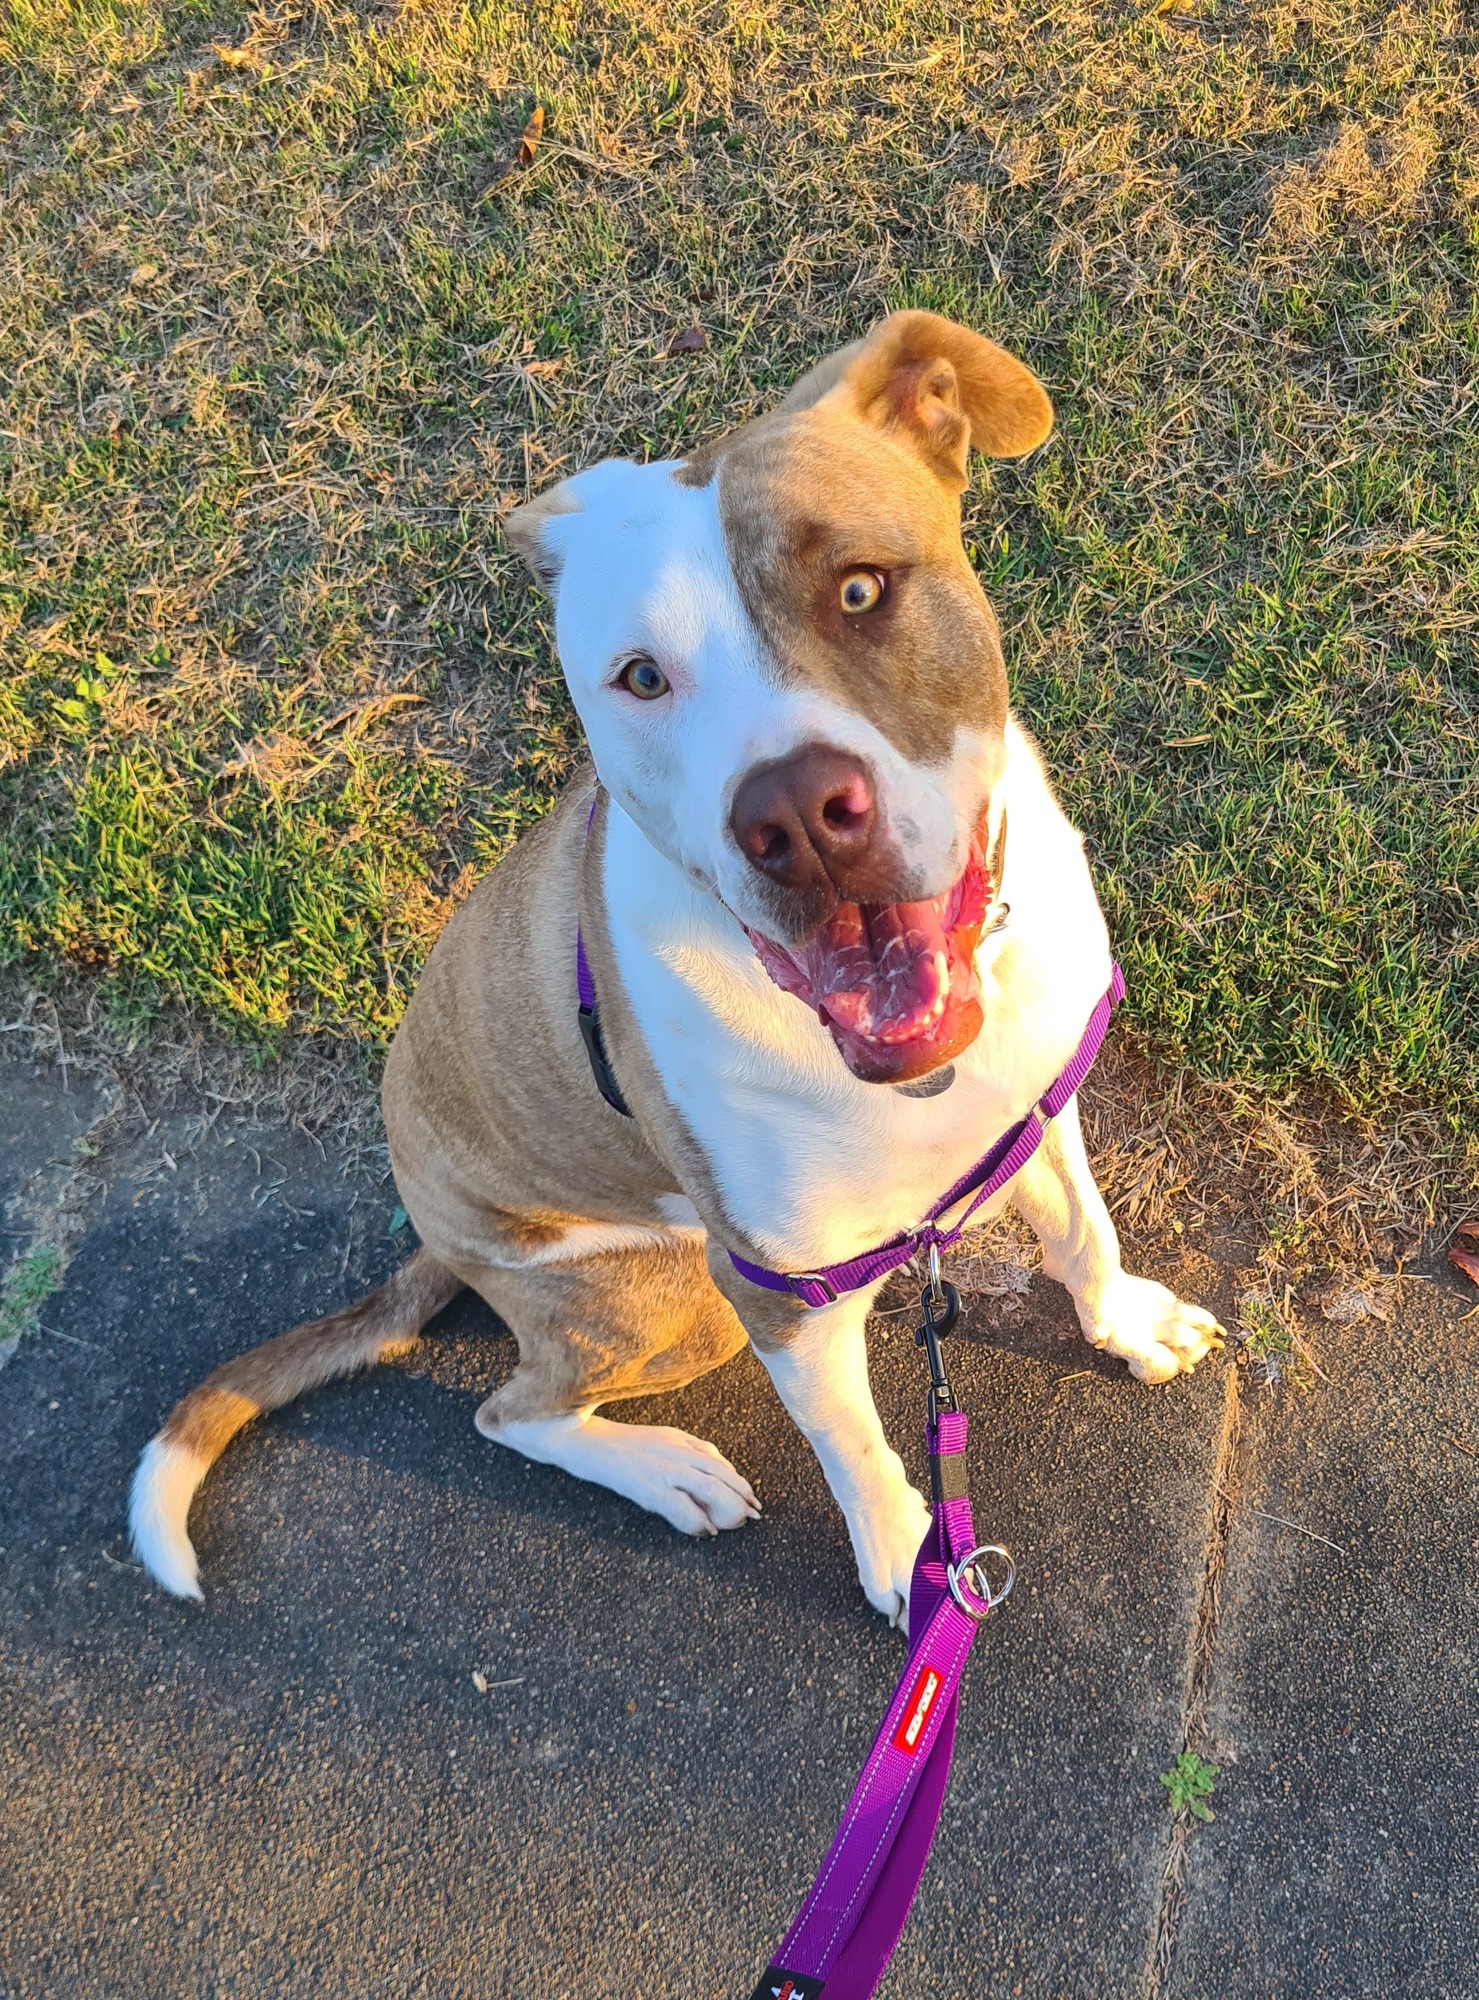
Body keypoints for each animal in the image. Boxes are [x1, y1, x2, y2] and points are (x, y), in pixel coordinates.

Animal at [126, 316, 1215, 1624]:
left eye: (861, 587)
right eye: (641, 676)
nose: (796, 814)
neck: (922, 1072)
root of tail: (434, 1233)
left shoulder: (1037, 1104)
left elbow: (1083, 1231)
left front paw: (1127, 1322)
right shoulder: (781, 1300)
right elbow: (858, 1448)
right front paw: (912, 1558)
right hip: (673, 1294)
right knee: (512, 1410)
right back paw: (665, 1471)